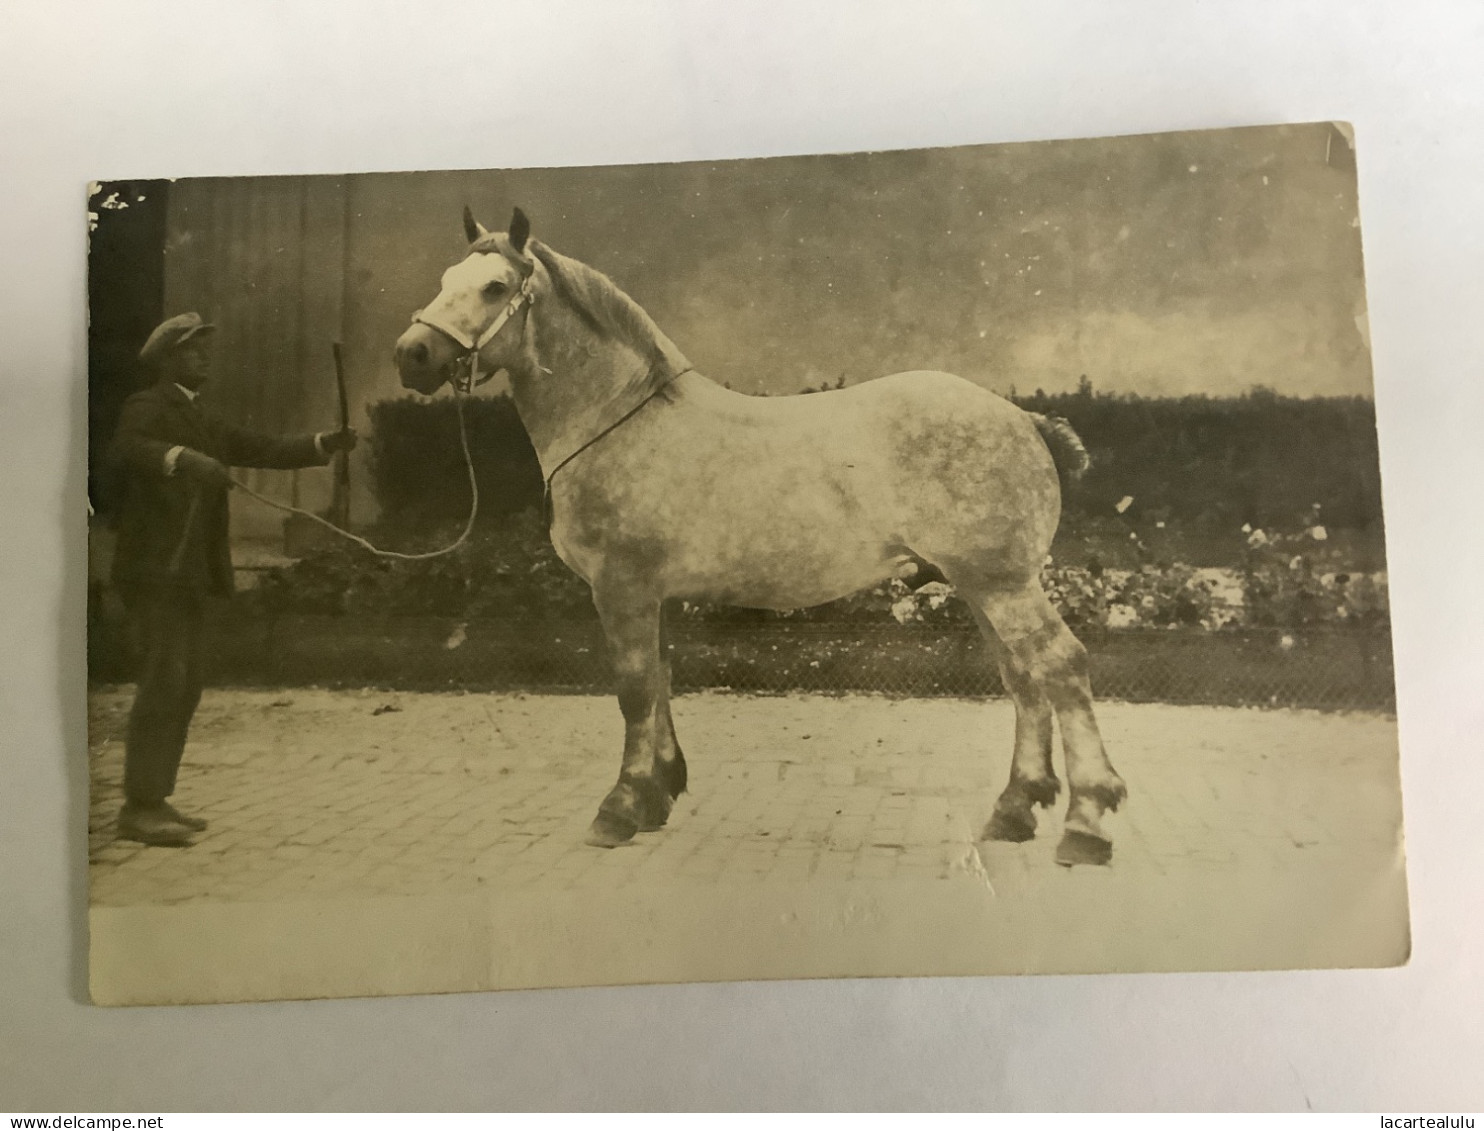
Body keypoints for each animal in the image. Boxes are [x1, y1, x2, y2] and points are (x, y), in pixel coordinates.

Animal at [394, 209, 1121, 860]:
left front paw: (621, 806)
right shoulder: (652, 594)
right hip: (980, 585)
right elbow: (660, 677)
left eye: (494, 287)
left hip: (1002, 584)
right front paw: (659, 793)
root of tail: (1023, 419)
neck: (618, 420)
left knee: (1061, 665)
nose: (411, 355)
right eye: (445, 277)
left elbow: (633, 689)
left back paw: (1087, 823)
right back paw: (1016, 809)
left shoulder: (621, 587)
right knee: (1022, 676)